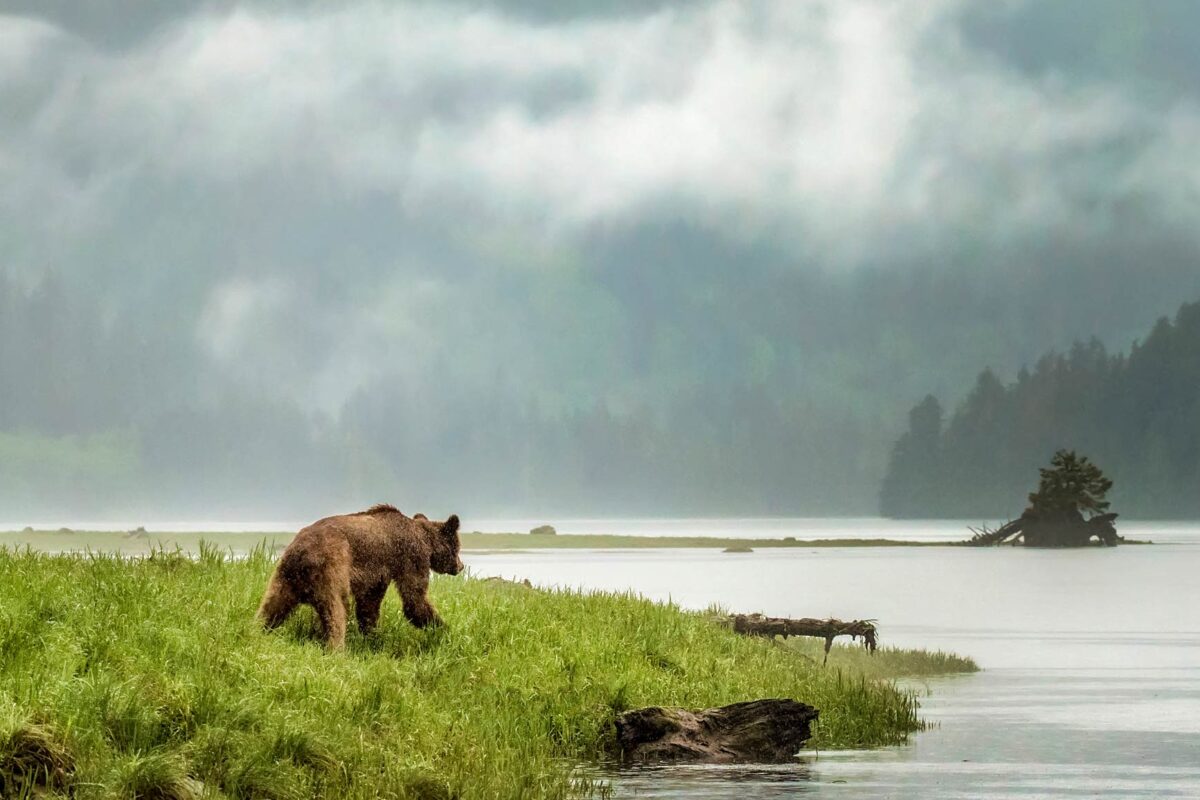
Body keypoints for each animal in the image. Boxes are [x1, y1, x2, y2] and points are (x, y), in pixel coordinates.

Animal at [257, 504, 463, 648]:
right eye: (457, 547)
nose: (461, 566)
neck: (426, 540)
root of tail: (301, 551)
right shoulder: (410, 557)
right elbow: (415, 600)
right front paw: (444, 628)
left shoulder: (377, 573)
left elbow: (369, 605)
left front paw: (372, 636)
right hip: (332, 567)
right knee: (336, 610)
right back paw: (336, 648)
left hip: (284, 577)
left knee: (271, 606)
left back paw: (258, 629)